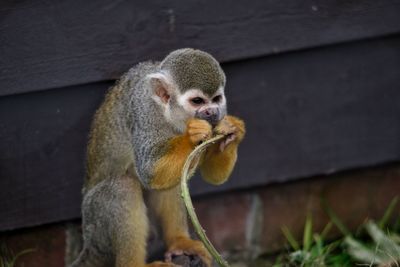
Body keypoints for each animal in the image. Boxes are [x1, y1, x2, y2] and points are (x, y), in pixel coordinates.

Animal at [70, 48, 245, 267]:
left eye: (216, 99)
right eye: (197, 101)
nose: (212, 112)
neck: (168, 113)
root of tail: (88, 247)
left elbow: (213, 176)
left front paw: (232, 131)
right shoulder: (144, 112)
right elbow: (149, 171)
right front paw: (192, 135)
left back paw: (179, 241)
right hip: (96, 227)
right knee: (123, 187)